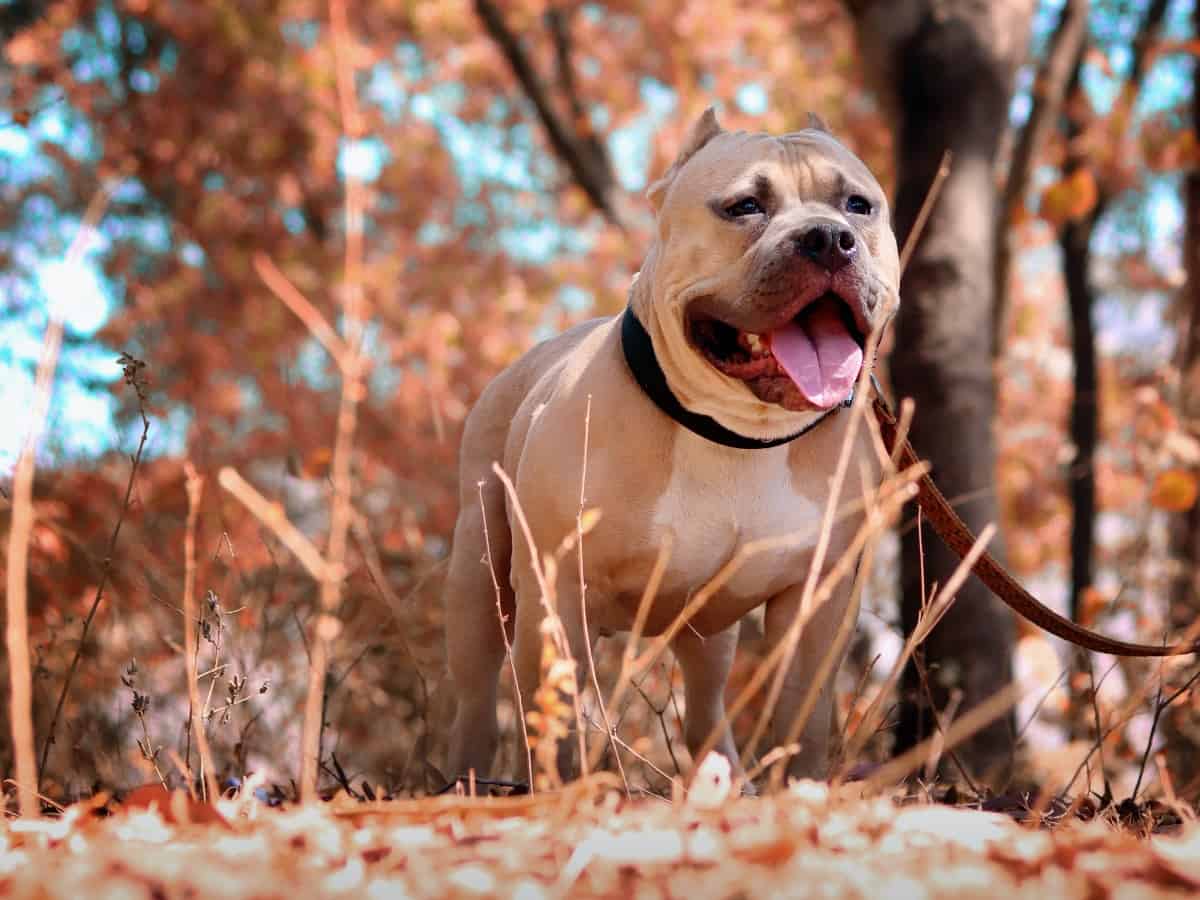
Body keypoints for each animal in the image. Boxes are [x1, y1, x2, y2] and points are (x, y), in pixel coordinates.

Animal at [444, 109, 902, 787]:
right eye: (744, 207)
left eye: (858, 206)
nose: (828, 238)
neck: (736, 433)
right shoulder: (558, 591)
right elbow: (553, 721)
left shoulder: (817, 602)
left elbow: (803, 716)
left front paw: (799, 789)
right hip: (481, 580)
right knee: (475, 696)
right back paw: (464, 782)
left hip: (709, 637)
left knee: (705, 709)